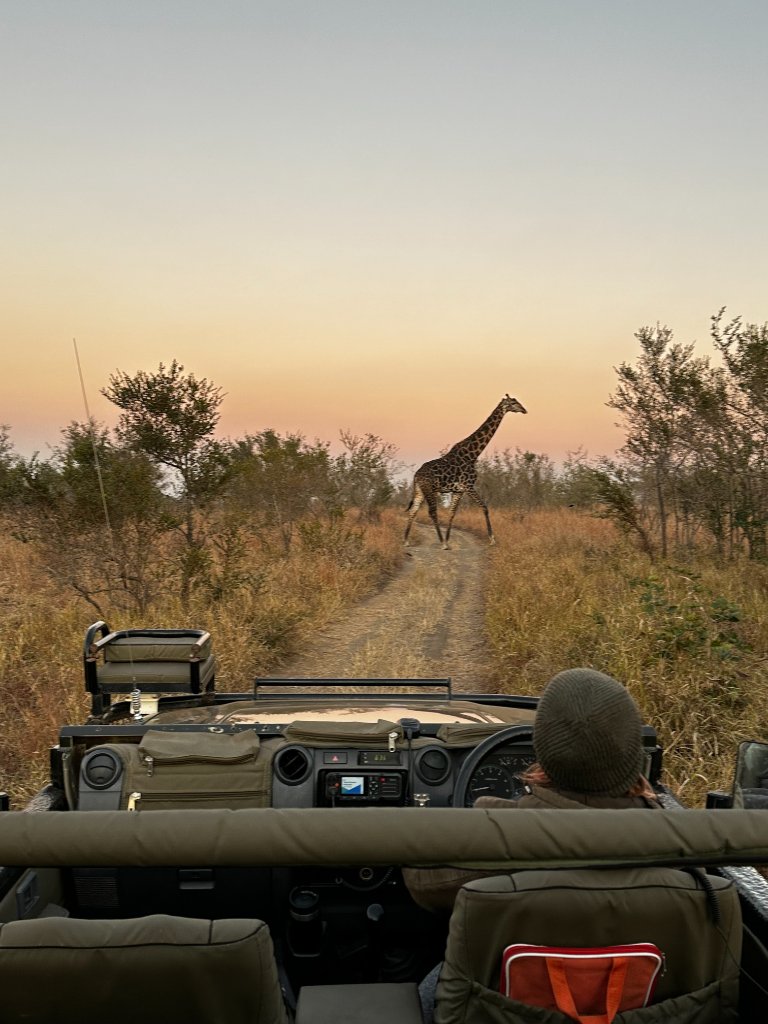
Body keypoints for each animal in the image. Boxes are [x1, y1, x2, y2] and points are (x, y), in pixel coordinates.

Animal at [404, 394, 527, 548]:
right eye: (513, 402)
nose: (524, 410)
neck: (473, 454)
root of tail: (416, 475)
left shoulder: (459, 490)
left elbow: (452, 513)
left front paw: (448, 539)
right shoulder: (469, 486)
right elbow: (484, 507)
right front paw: (492, 539)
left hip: (420, 490)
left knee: (413, 510)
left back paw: (406, 541)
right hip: (429, 489)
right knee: (431, 512)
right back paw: (441, 543)